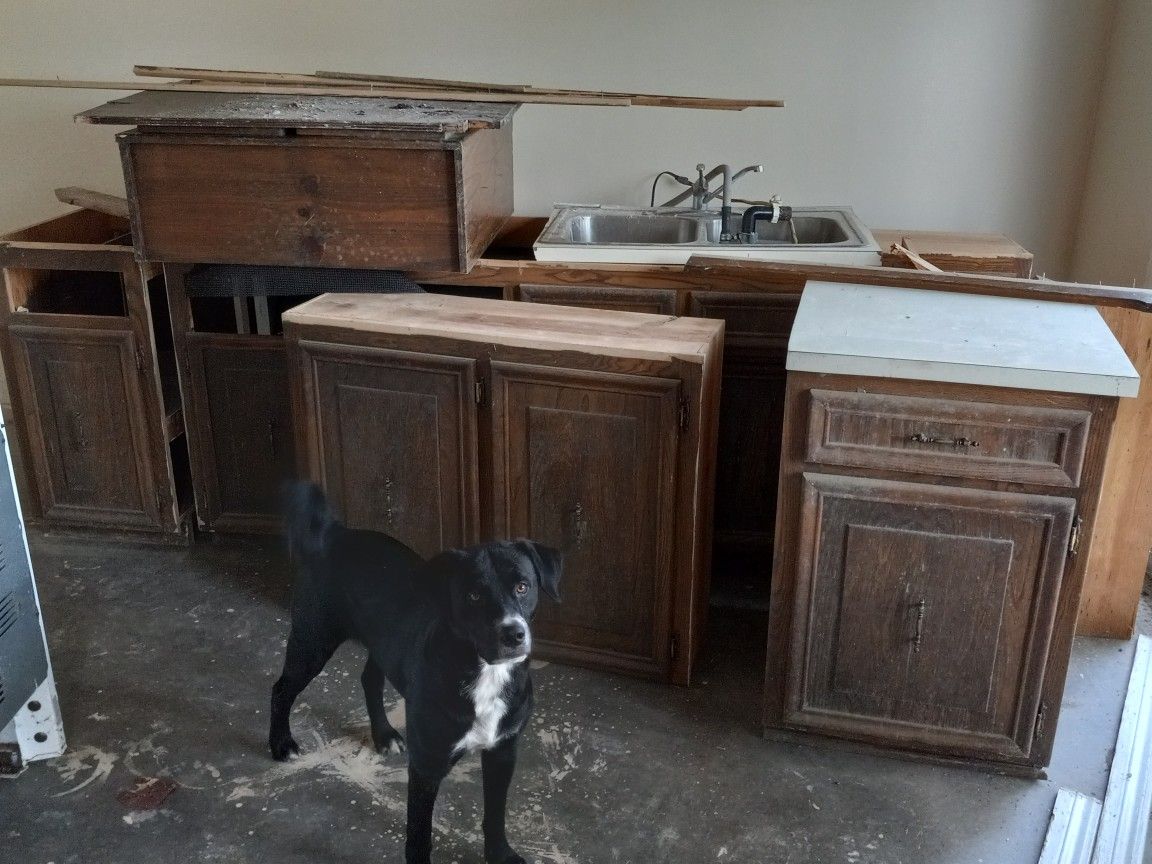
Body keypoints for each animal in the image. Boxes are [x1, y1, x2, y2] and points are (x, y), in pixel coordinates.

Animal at [266, 488, 562, 864]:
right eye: (473, 594)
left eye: (523, 587)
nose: (513, 634)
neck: (484, 672)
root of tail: (337, 533)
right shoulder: (426, 765)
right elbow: (419, 835)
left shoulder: (503, 750)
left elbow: (495, 814)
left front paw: (500, 854)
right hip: (312, 642)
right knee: (281, 689)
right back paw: (281, 743)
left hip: (380, 644)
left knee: (369, 679)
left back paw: (383, 735)